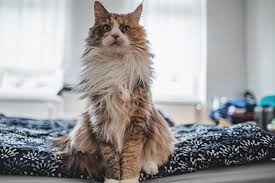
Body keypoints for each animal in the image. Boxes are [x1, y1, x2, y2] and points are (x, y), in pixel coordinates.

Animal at [51, 1, 175, 183]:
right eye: (106, 28)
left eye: (124, 29)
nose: (115, 35)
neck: (115, 64)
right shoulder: (101, 121)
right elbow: (110, 158)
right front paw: (113, 179)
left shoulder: (137, 121)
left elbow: (132, 155)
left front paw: (129, 178)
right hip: (82, 129)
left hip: (160, 130)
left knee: (155, 154)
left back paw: (150, 167)